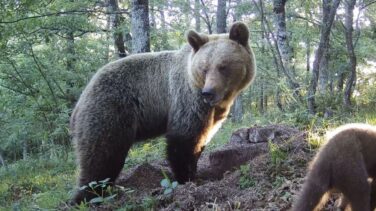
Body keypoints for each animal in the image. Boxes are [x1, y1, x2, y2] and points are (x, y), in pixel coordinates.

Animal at [69, 21, 258, 204]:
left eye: (223, 66)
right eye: (204, 68)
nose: (208, 92)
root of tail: (80, 100)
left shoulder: (213, 113)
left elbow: (202, 138)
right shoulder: (187, 99)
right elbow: (183, 140)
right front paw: (186, 178)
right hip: (111, 110)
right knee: (101, 155)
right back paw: (86, 196)